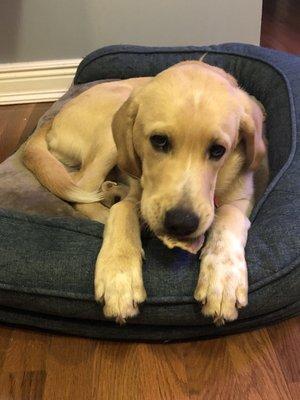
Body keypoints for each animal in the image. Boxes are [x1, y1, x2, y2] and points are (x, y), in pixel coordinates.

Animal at [22, 61, 268, 324]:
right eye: (159, 140)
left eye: (218, 150)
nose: (181, 223)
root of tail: (52, 120)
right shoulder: (138, 191)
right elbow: (122, 212)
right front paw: (118, 276)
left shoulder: (242, 197)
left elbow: (228, 217)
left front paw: (222, 280)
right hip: (110, 138)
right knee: (81, 187)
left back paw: (112, 190)